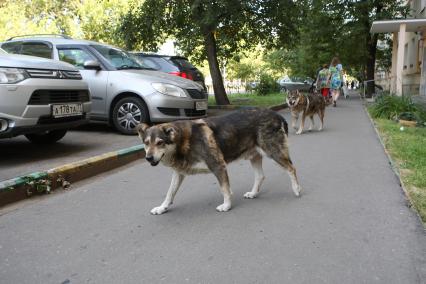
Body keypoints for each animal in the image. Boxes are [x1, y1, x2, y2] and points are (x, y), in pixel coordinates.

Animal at [138, 107, 302, 214]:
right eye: (146, 143)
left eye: (160, 142)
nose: (148, 158)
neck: (184, 141)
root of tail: (276, 114)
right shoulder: (179, 173)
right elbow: (169, 193)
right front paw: (162, 208)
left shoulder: (218, 166)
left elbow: (224, 188)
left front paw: (227, 205)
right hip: (254, 156)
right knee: (260, 176)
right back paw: (253, 193)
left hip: (274, 152)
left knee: (291, 168)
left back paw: (296, 189)